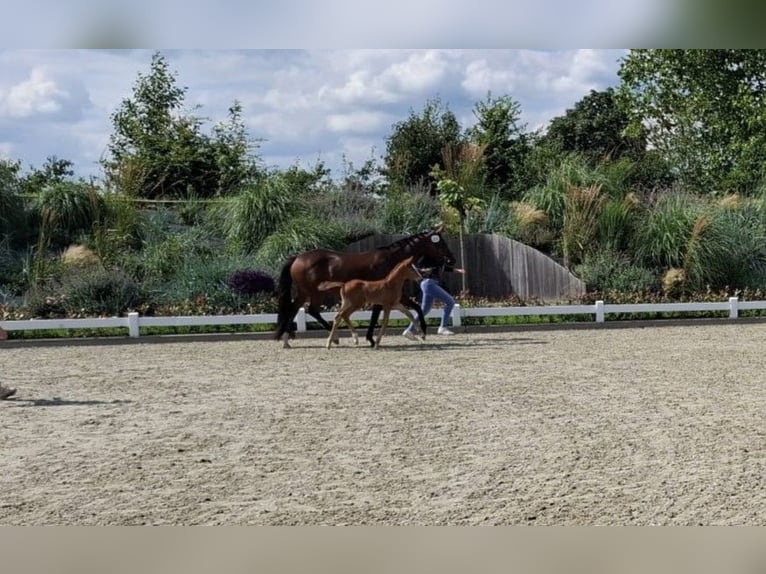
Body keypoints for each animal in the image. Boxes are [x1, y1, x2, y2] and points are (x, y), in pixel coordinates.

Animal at [274, 227, 456, 348]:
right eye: (440, 243)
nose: (451, 260)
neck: (391, 260)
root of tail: (298, 257)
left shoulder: (394, 296)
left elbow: (414, 308)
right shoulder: (384, 296)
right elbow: (379, 315)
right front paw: (372, 339)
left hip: (306, 293)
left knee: (297, 309)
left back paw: (287, 339)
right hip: (313, 292)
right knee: (310, 310)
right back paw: (335, 338)